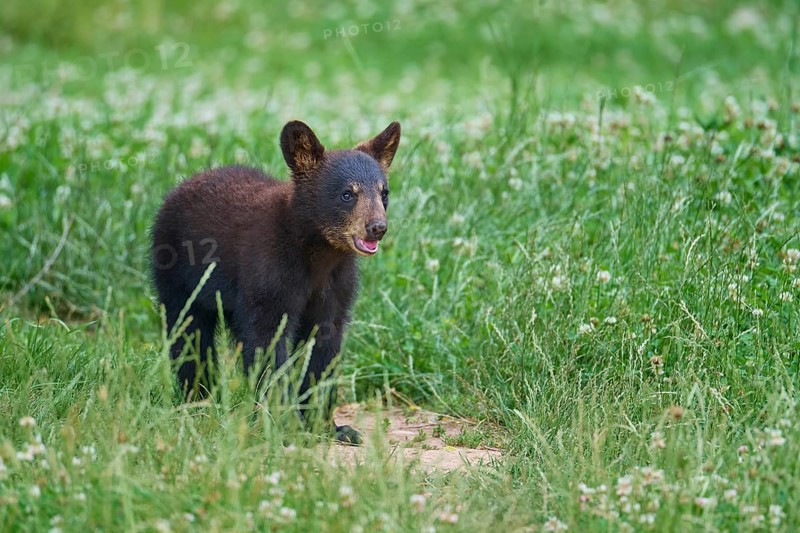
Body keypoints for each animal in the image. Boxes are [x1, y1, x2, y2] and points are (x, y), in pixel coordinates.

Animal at [150, 120, 401, 443]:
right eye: (348, 194)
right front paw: (286, 424)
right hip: (177, 274)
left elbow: (323, 344)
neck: (318, 255)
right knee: (189, 331)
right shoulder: (270, 274)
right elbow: (268, 341)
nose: (377, 227)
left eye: (384, 193)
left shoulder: (336, 286)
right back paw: (198, 401)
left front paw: (330, 426)